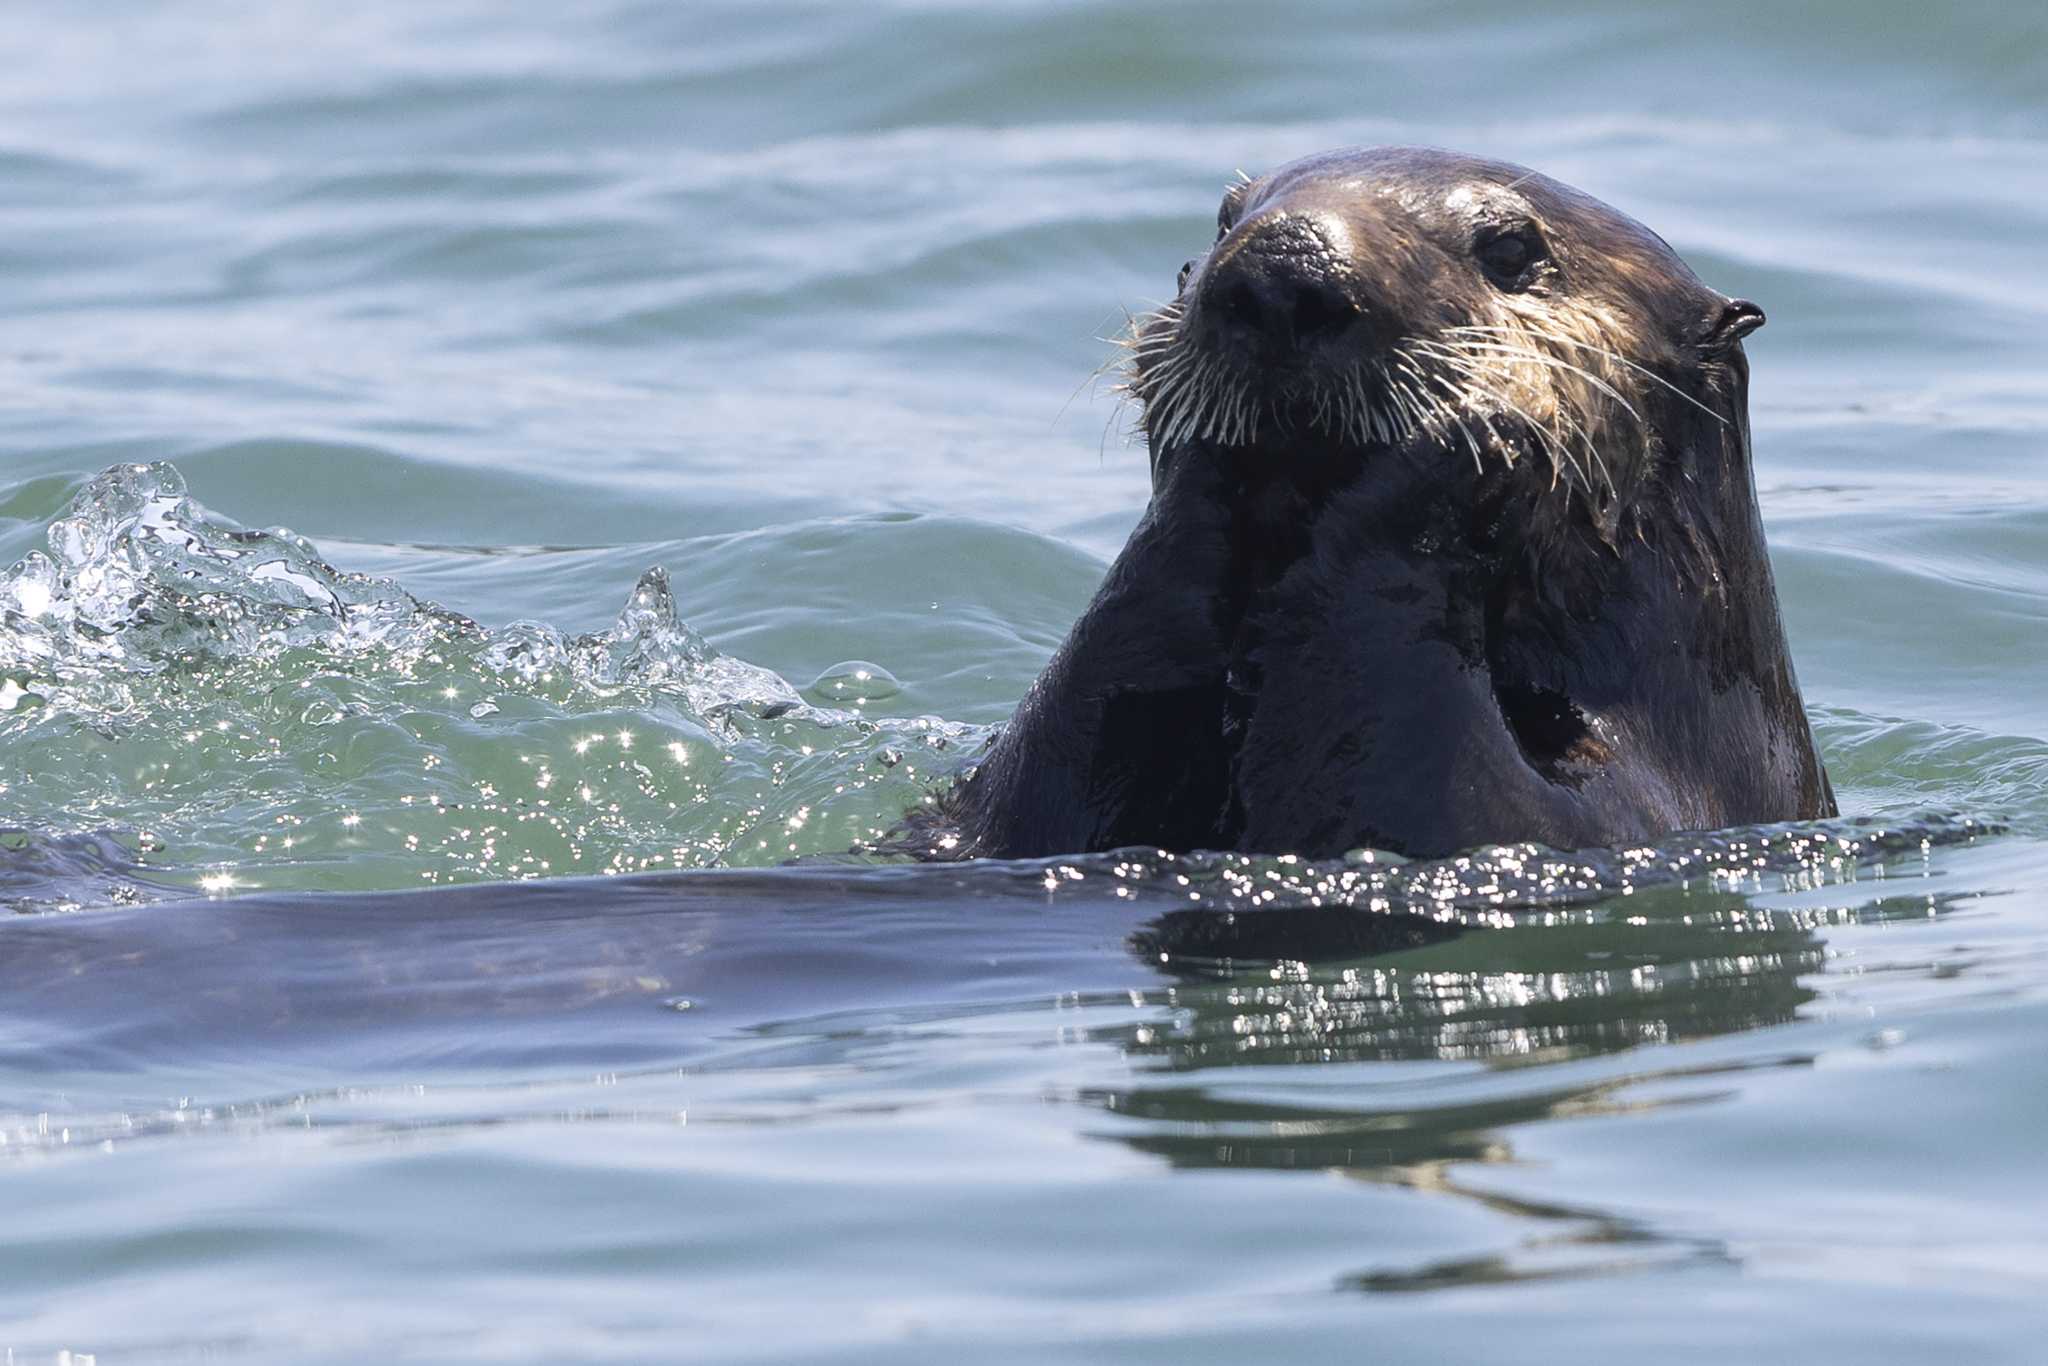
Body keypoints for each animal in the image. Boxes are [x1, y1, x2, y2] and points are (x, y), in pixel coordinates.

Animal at [906, 145, 1835, 861]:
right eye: (1223, 218)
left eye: (1511, 249)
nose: (1281, 268)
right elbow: (1023, 798)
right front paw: (1201, 453)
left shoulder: (1660, 801)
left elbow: (1442, 805)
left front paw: (1479, 432)